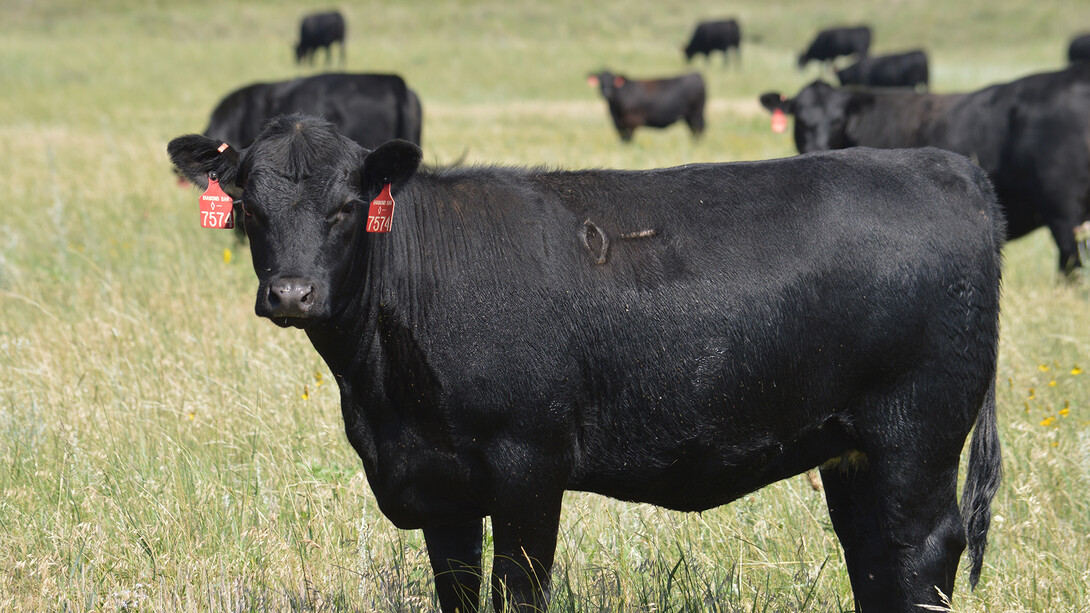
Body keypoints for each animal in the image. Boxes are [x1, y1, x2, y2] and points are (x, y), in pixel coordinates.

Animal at [167, 114, 1002, 610]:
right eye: (250, 208)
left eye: (346, 207)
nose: (292, 292)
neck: (382, 401)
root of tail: (948, 166)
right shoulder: (439, 484)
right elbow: (458, 587)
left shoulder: (529, 463)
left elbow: (519, 586)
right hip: (852, 446)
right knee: (872, 550)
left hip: (918, 432)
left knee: (921, 547)